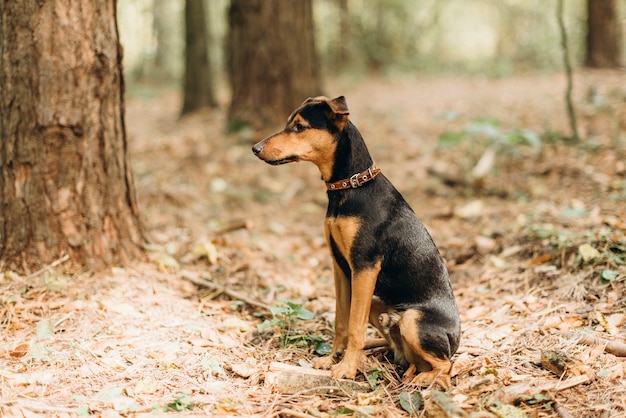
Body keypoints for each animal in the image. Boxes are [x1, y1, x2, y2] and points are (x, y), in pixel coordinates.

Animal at [251, 96, 460, 386]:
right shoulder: (340, 267)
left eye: (299, 127)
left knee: (448, 364)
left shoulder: (364, 265)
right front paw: (332, 359)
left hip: (412, 319)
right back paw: (407, 368)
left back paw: (422, 378)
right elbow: (341, 319)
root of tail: (456, 339)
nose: (255, 148)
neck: (351, 187)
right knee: (408, 353)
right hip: (380, 308)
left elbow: (354, 325)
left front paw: (347, 368)